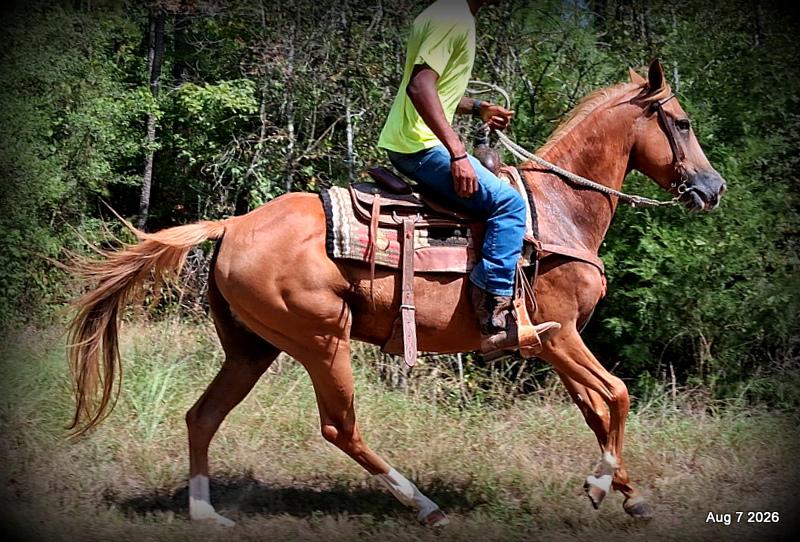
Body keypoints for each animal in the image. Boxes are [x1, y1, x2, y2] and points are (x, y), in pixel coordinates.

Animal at [67, 59, 726, 527]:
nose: (713, 188)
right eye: (683, 123)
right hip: (321, 341)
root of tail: (231, 226)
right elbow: (616, 394)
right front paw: (600, 484)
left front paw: (628, 495)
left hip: (254, 348)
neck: (559, 209)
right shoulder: (558, 334)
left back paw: (207, 514)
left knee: (203, 416)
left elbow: (596, 408)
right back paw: (423, 505)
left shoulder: (553, 344)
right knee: (340, 428)